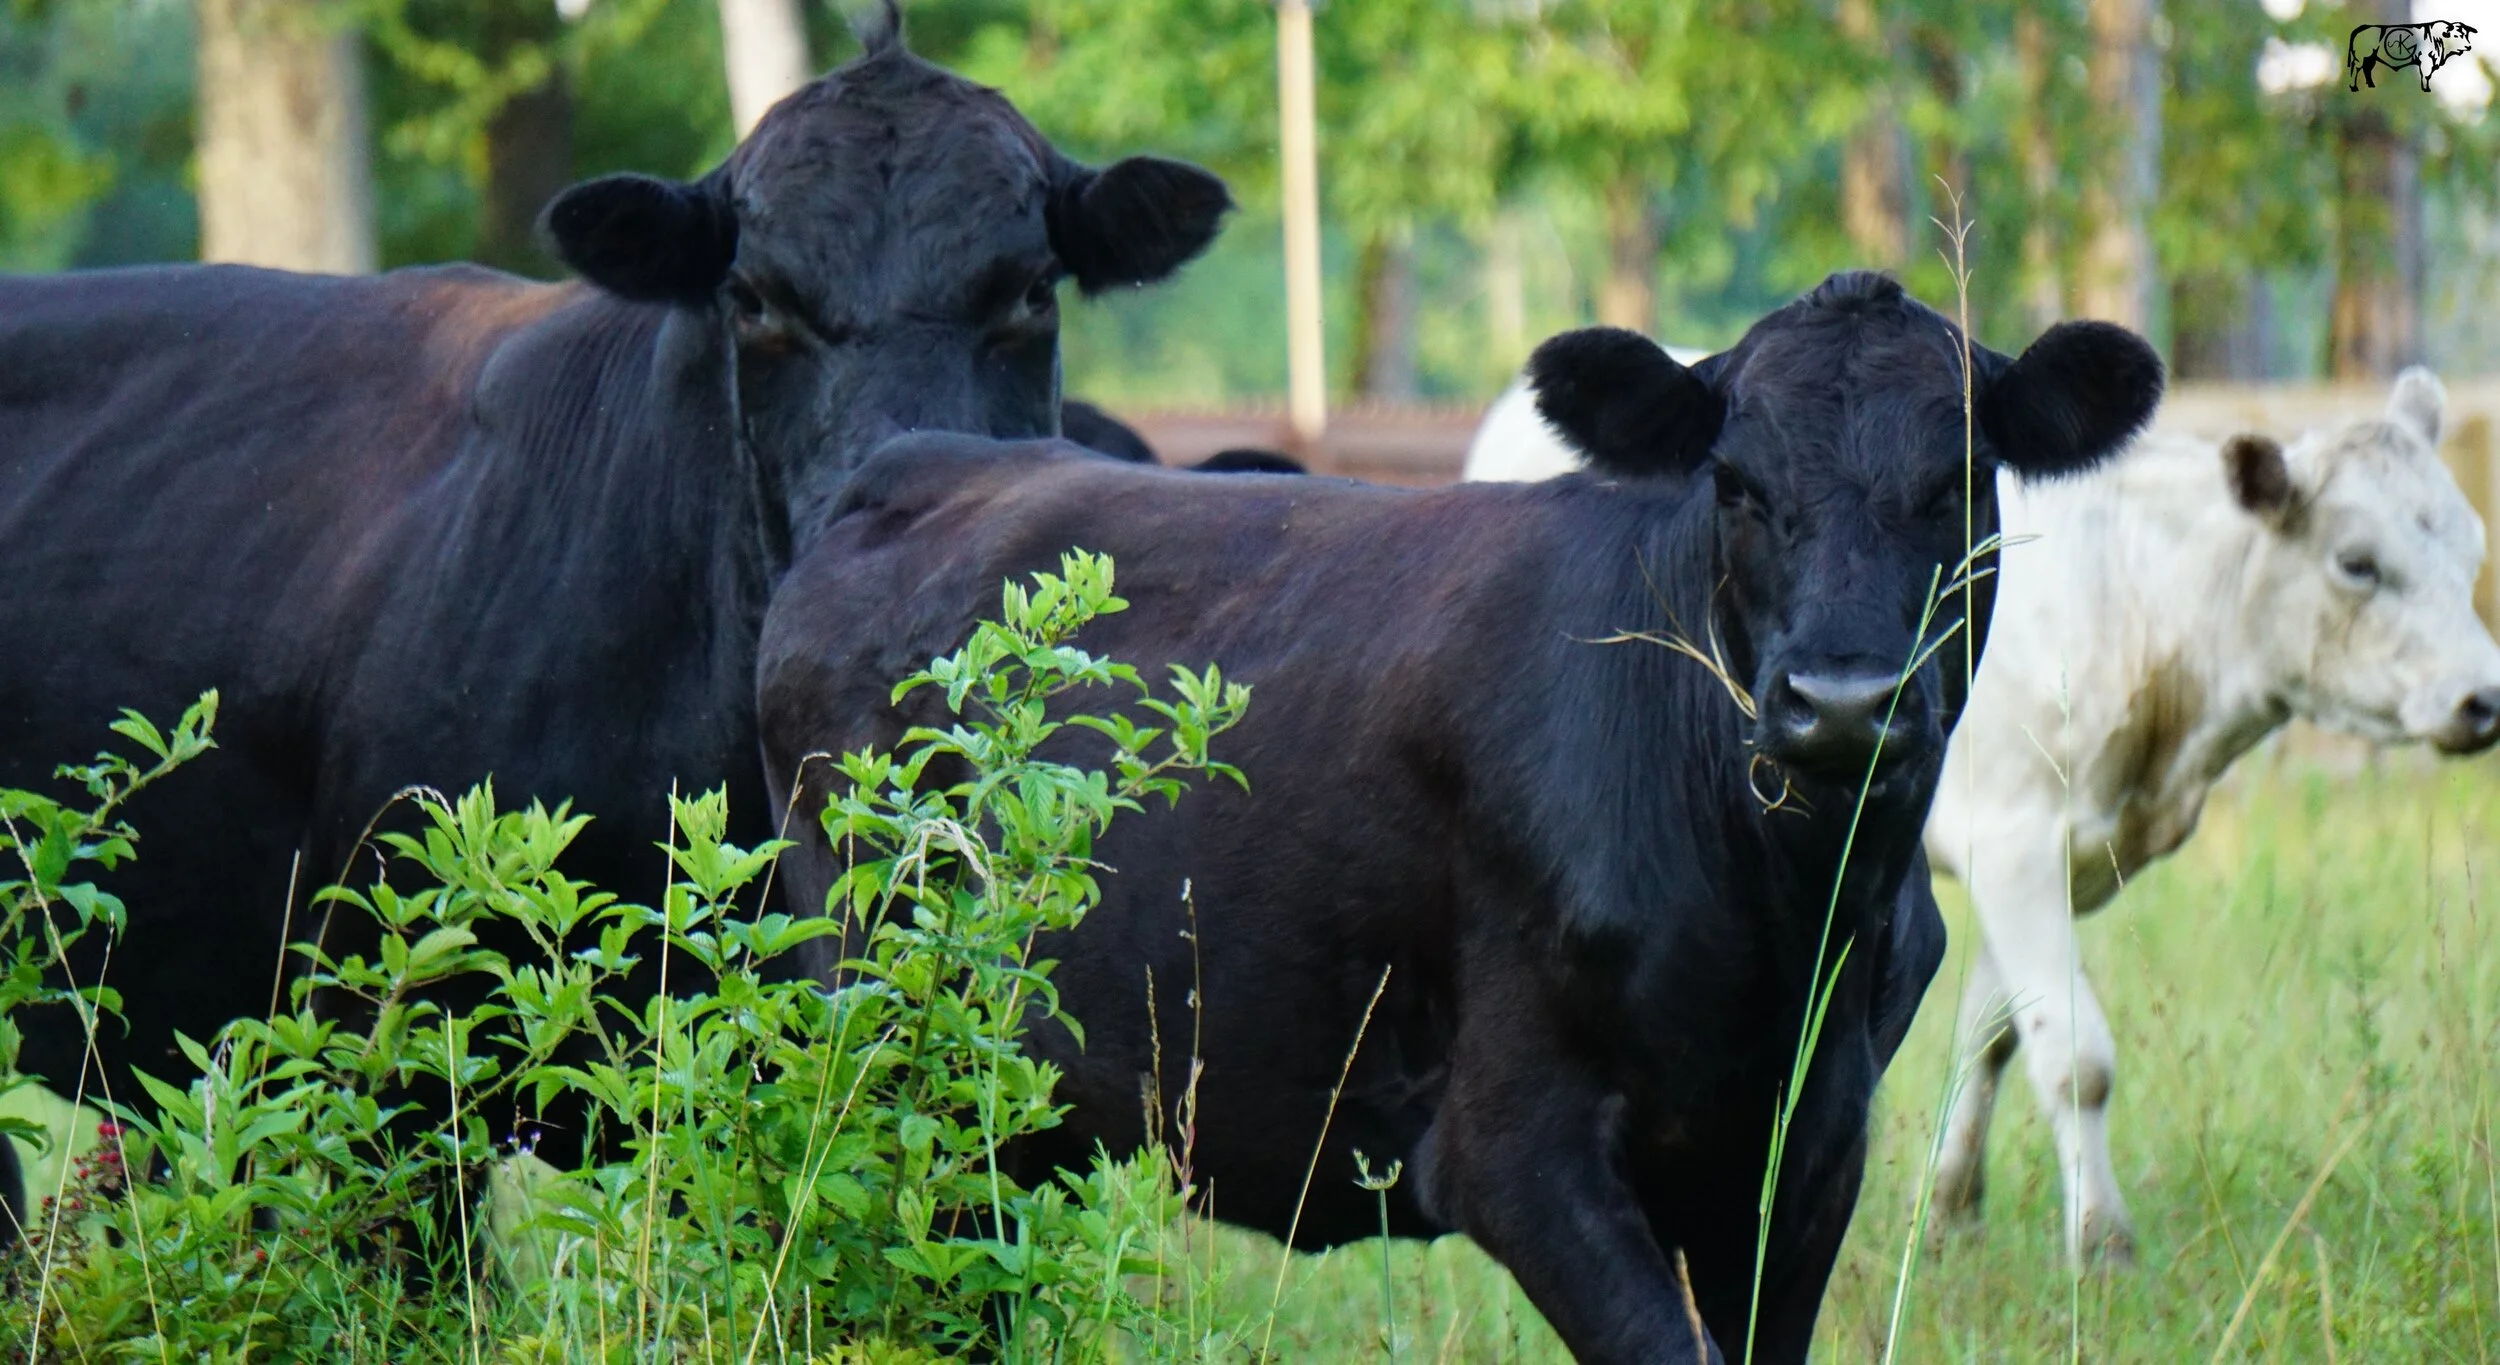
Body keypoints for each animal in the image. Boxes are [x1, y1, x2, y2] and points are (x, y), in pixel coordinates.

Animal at [755, 273, 2163, 1363]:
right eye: (1734, 483)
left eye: (1961, 476)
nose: (1840, 703)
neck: (1787, 911)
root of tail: (919, 464)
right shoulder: (1513, 1144)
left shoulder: (1805, 1152)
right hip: (885, 1035)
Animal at [1923, 369, 2500, 1263]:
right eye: (2356, 562)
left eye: (2471, 550)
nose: (2483, 699)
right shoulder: (2010, 834)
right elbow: (2076, 1059)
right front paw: (2102, 1244)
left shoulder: (2052, 858)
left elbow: (1990, 1038)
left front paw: (1949, 1219)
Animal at [2346, 20, 2477, 92]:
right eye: (2456, 36)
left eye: (2466, 35)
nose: (2469, 46)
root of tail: (2360, 29)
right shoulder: (2426, 61)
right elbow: (2426, 76)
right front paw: (2426, 88)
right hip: (2361, 58)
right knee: (2355, 69)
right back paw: (2354, 86)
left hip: (2371, 59)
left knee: (2367, 70)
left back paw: (2371, 84)